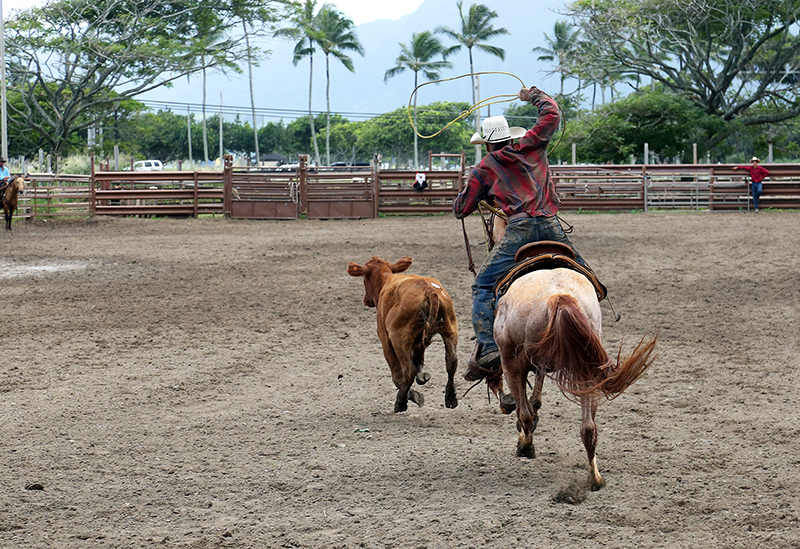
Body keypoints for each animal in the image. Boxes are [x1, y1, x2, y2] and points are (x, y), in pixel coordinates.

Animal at [348, 256, 460, 412]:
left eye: (364, 277)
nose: (366, 300)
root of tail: (429, 290)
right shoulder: (419, 341)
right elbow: (419, 361)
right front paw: (422, 376)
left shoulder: (385, 339)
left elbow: (397, 375)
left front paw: (411, 394)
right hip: (450, 328)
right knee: (452, 362)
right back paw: (451, 397)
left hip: (399, 339)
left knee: (408, 371)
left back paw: (400, 402)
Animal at [482, 211, 656, 488]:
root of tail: (559, 296)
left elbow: (527, 406)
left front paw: (525, 436)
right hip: (586, 366)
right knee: (588, 427)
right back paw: (594, 478)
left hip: (513, 361)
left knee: (524, 412)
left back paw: (526, 446)